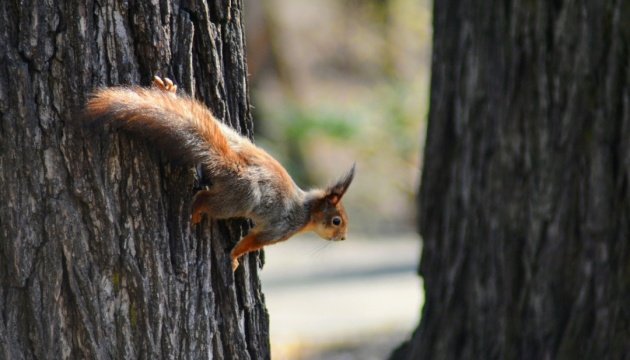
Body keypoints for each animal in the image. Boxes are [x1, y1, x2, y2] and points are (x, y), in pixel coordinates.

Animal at [86, 77, 358, 272]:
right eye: (337, 221)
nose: (344, 238)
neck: (306, 210)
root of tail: (233, 167)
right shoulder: (280, 228)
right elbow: (251, 242)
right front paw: (235, 258)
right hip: (236, 200)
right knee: (205, 200)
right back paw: (196, 211)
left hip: (235, 146)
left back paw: (168, 91)